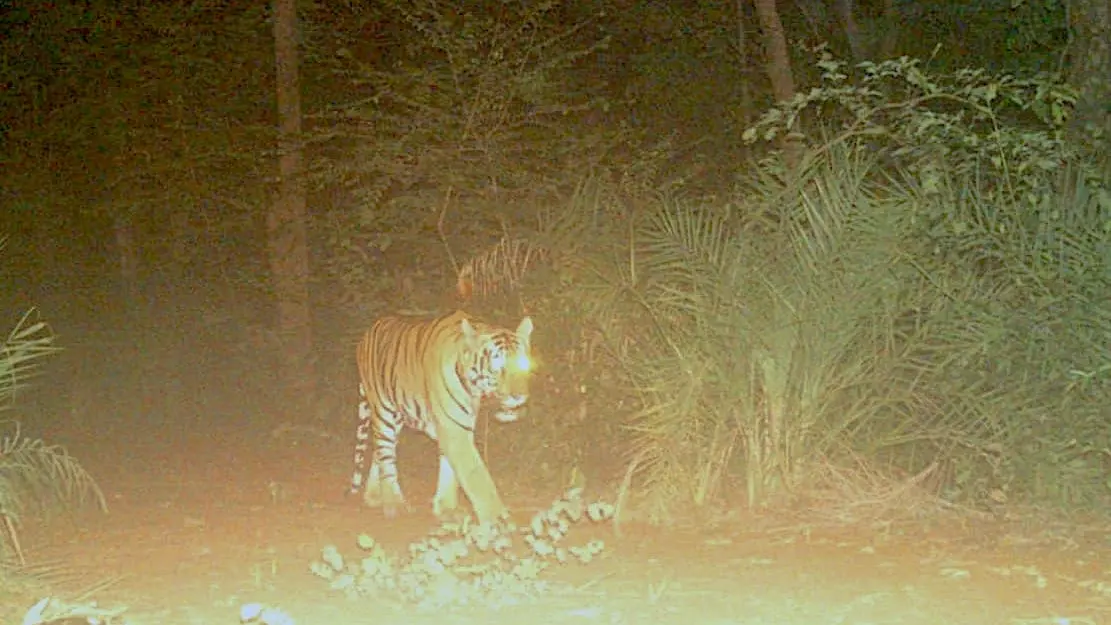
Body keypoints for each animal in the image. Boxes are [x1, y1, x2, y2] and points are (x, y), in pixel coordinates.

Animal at [347, 310, 534, 525]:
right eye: (498, 368)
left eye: (524, 365)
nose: (519, 396)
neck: (473, 390)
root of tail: (366, 335)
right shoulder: (455, 431)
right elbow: (477, 477)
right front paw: (497, 519)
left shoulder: (455, 427)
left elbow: (449, 471)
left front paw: (447, 509)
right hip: (383, 411)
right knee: (385, 455)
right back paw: (394, 504)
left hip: (397, 415)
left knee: (378, 452)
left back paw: (374, 497)